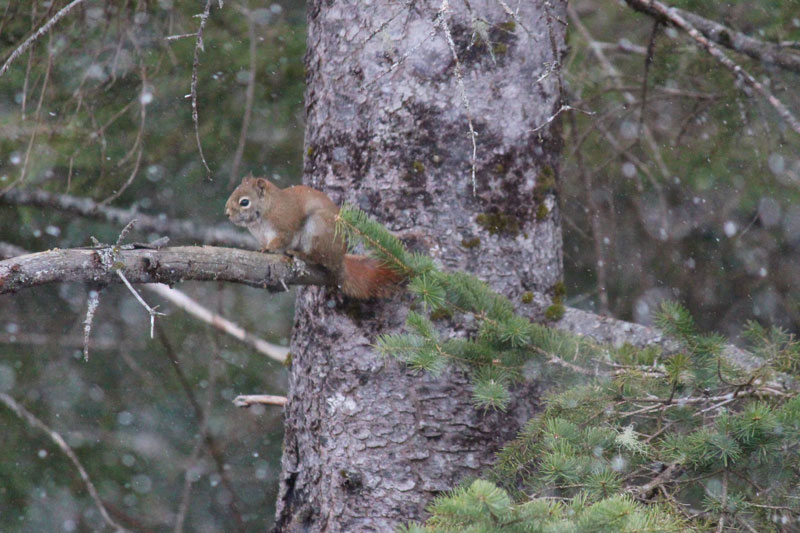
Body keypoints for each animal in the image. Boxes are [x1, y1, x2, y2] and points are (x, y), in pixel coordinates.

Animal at [225, 176, 400, 298]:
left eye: (244, 202)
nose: (227, 213)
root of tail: (340, 260)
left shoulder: (285, 227)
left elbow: (281, 240)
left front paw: (268, 249)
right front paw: (263, 247)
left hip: (317, 228)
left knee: (317, 258)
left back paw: (298, 254)